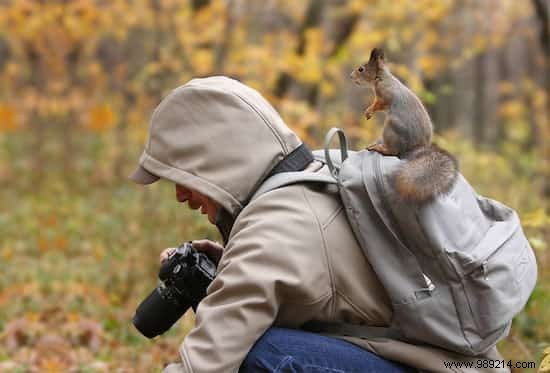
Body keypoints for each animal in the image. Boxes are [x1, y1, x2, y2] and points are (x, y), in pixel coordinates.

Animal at [352, 47, 460, 203]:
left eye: (361, 69)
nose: (350, 76)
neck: (381, 78)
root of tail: (414, 149)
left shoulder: (384, 96)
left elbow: (378, 104)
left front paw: (369, 111)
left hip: (391, 128)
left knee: (393, 151)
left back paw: (379, 147)